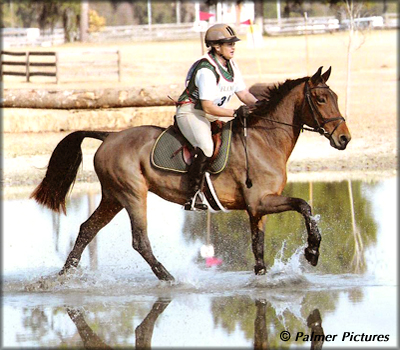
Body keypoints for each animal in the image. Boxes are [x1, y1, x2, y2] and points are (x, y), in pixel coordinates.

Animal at [31, 66, 350, 282]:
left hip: (113, 197)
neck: (265, 139)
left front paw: (262, 276)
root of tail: (109, 135)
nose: (344, 138)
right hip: (132, 195)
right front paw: (312, 252)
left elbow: (258, 246)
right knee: (139, 240)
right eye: (321, 99)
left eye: (335, 96)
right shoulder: (261, 201)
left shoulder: (256, 209)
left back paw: (65, 276)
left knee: (87, 229)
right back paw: (168, 278)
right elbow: (304, 206)